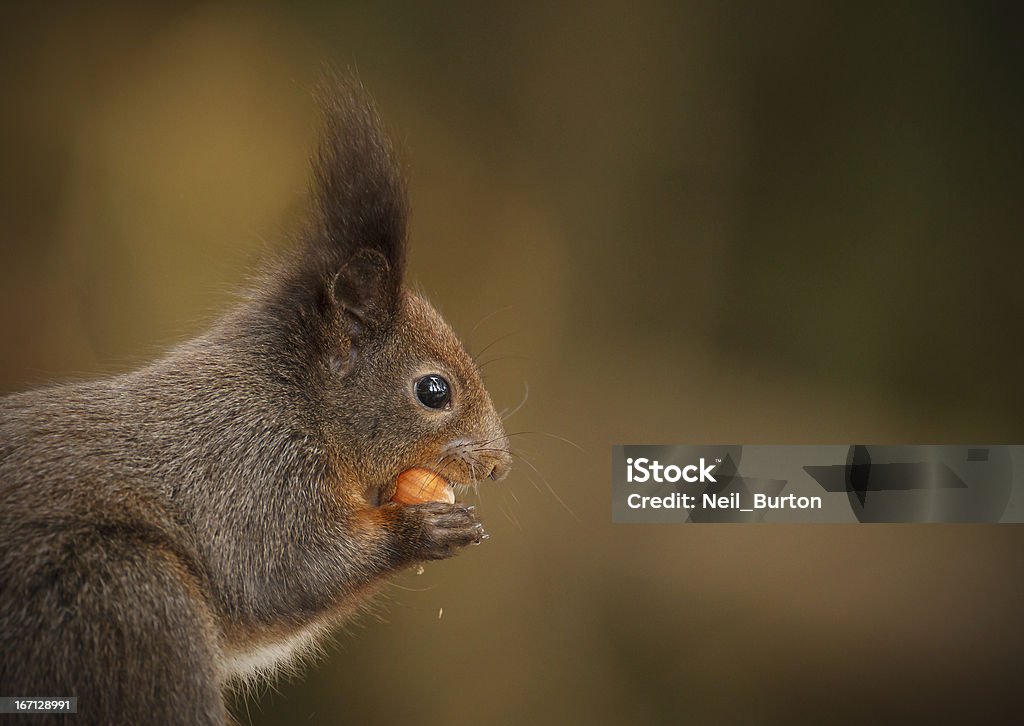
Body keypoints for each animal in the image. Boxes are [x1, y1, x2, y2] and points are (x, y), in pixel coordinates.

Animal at [0, 76, 512, 720]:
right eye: (433, 390)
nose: (499, 465)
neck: (295, 403)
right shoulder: (251, 473)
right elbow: (283, 573)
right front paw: (424, 531)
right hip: (131, 602)